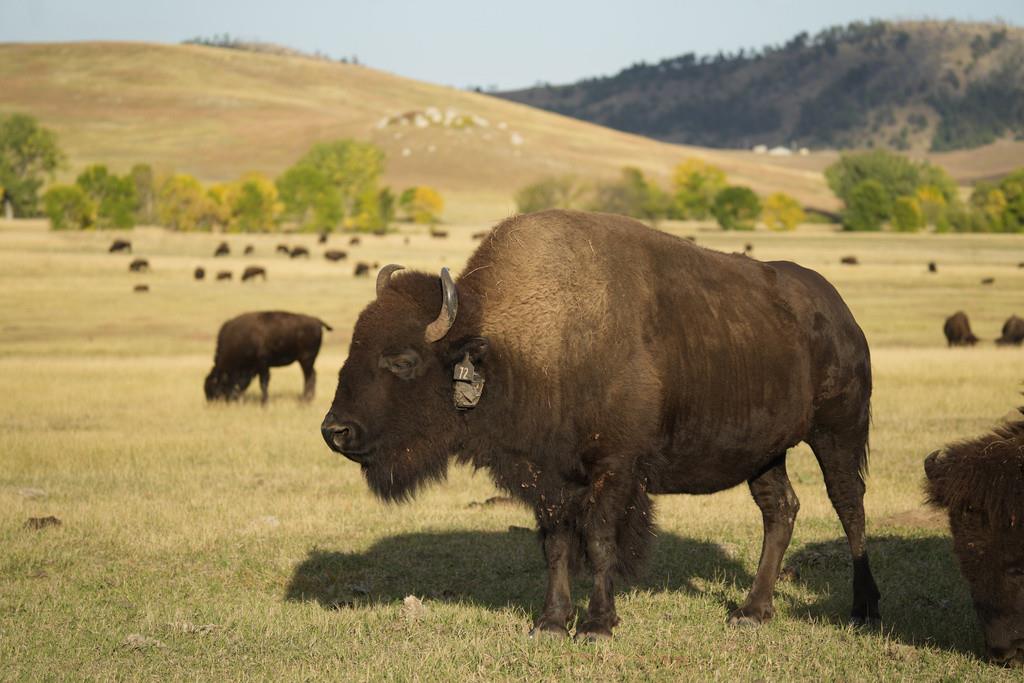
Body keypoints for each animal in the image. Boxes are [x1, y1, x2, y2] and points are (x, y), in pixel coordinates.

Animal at [205, 311, 333, 403]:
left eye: (214, 386)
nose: (212, 402)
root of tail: (316, 321)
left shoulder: (262, 363)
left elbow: (263, 383)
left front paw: (264, 403)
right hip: (307, 361)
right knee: (312, 375)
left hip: (306, 360)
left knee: (309, 377)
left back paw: (305, 400)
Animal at [319, 209, 880, 643]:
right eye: (353, 348)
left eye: (404, 360)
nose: (335, 431)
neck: (518, 342)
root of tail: (840, 313)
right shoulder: (547, 479)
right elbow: (557, 546)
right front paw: (549, 623)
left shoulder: (614, 468)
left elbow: (601, 540)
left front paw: (597, 625)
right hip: (765, 453)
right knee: (779, 510)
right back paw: (752, 611)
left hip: (837, 433)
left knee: (848, 505)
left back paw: (863, 608)